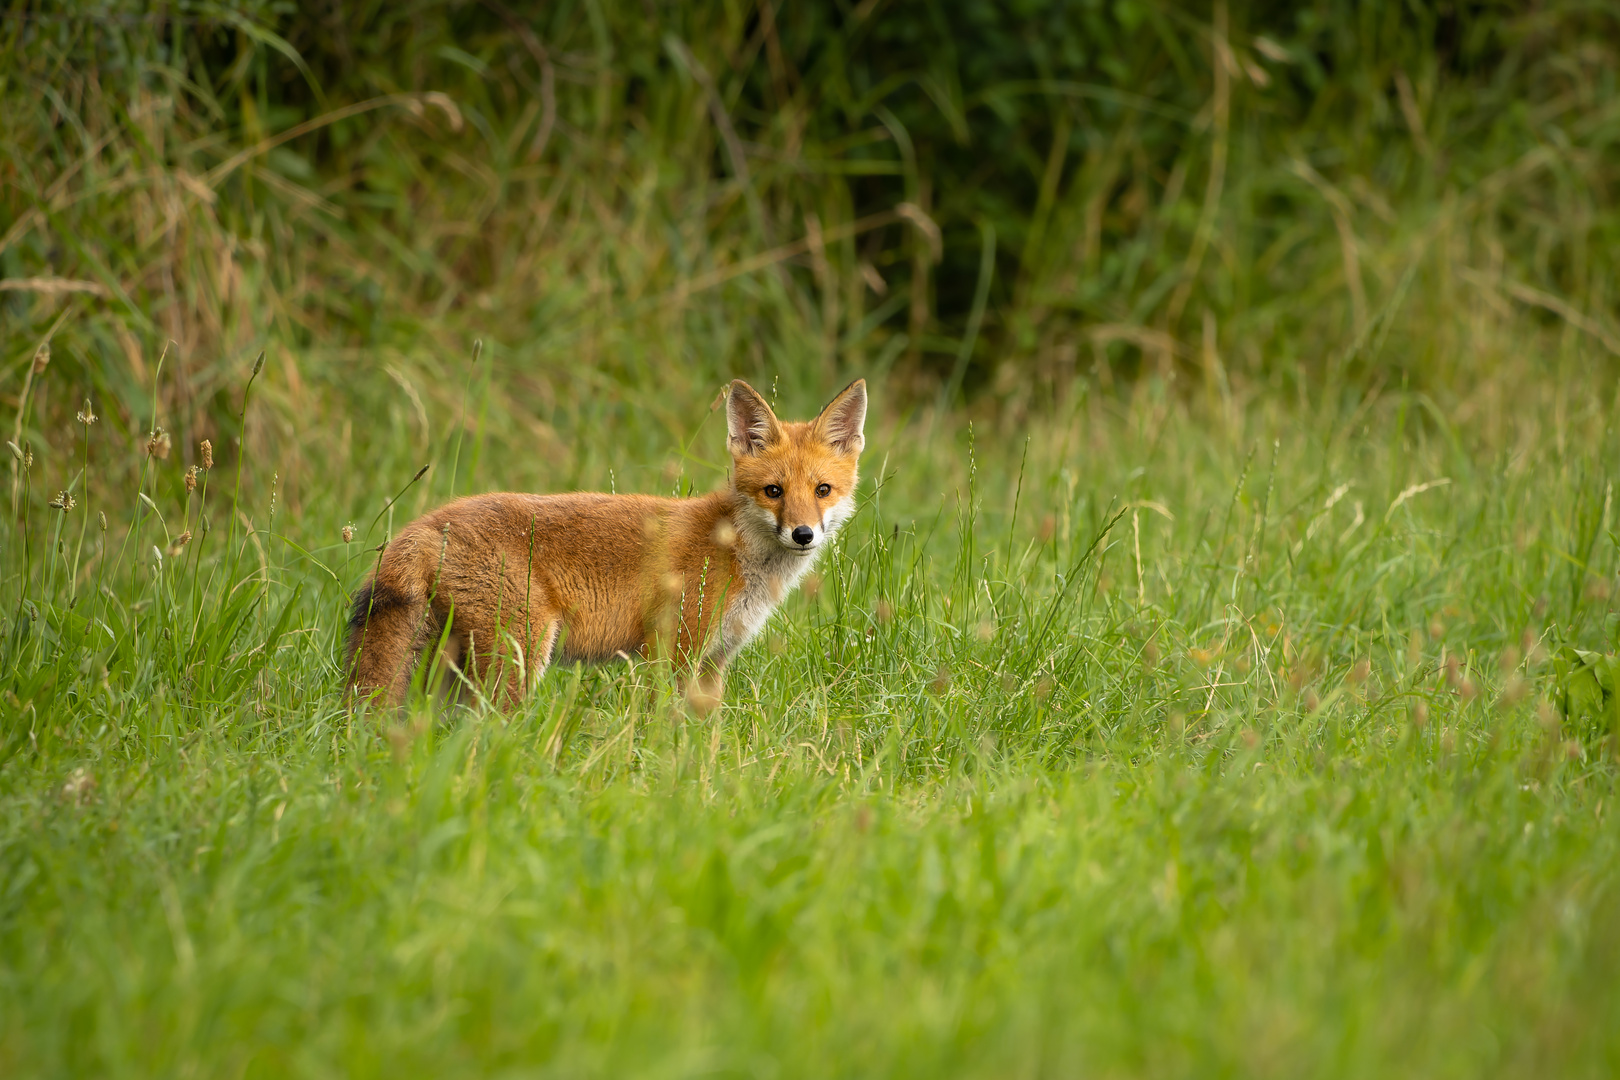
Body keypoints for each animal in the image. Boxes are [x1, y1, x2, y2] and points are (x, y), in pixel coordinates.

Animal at [346, 378, 868, 709]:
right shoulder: (672, 651)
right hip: (517, 657)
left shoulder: (713, 662)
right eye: (773, 492)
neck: (734, 549)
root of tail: (426, 523)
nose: (803, 534)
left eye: (822, 490)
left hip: (452, 665)